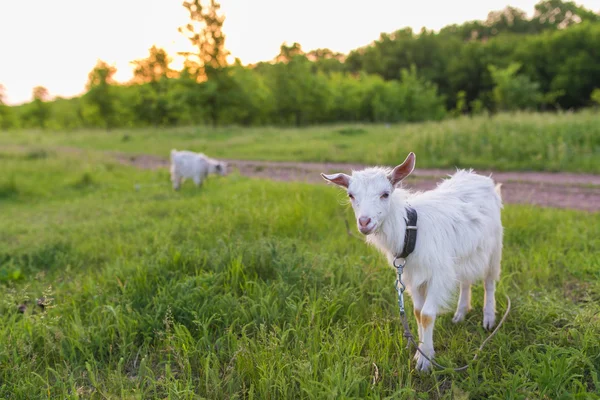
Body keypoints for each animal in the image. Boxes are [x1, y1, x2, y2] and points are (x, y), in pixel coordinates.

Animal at [324, 153, 502, 372]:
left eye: (385, 194)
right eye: (351, 195)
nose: (364, 222)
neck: (411, 228)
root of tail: (479, 177)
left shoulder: (438, 274)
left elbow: (427, 315)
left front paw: (425, 362)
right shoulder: (411, 276)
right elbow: (417, 313)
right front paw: (422, 352)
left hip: (494, 246)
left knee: (489, 281)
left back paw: (489, 319)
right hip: (462, 255)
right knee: (465, 281)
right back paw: (460, 314)